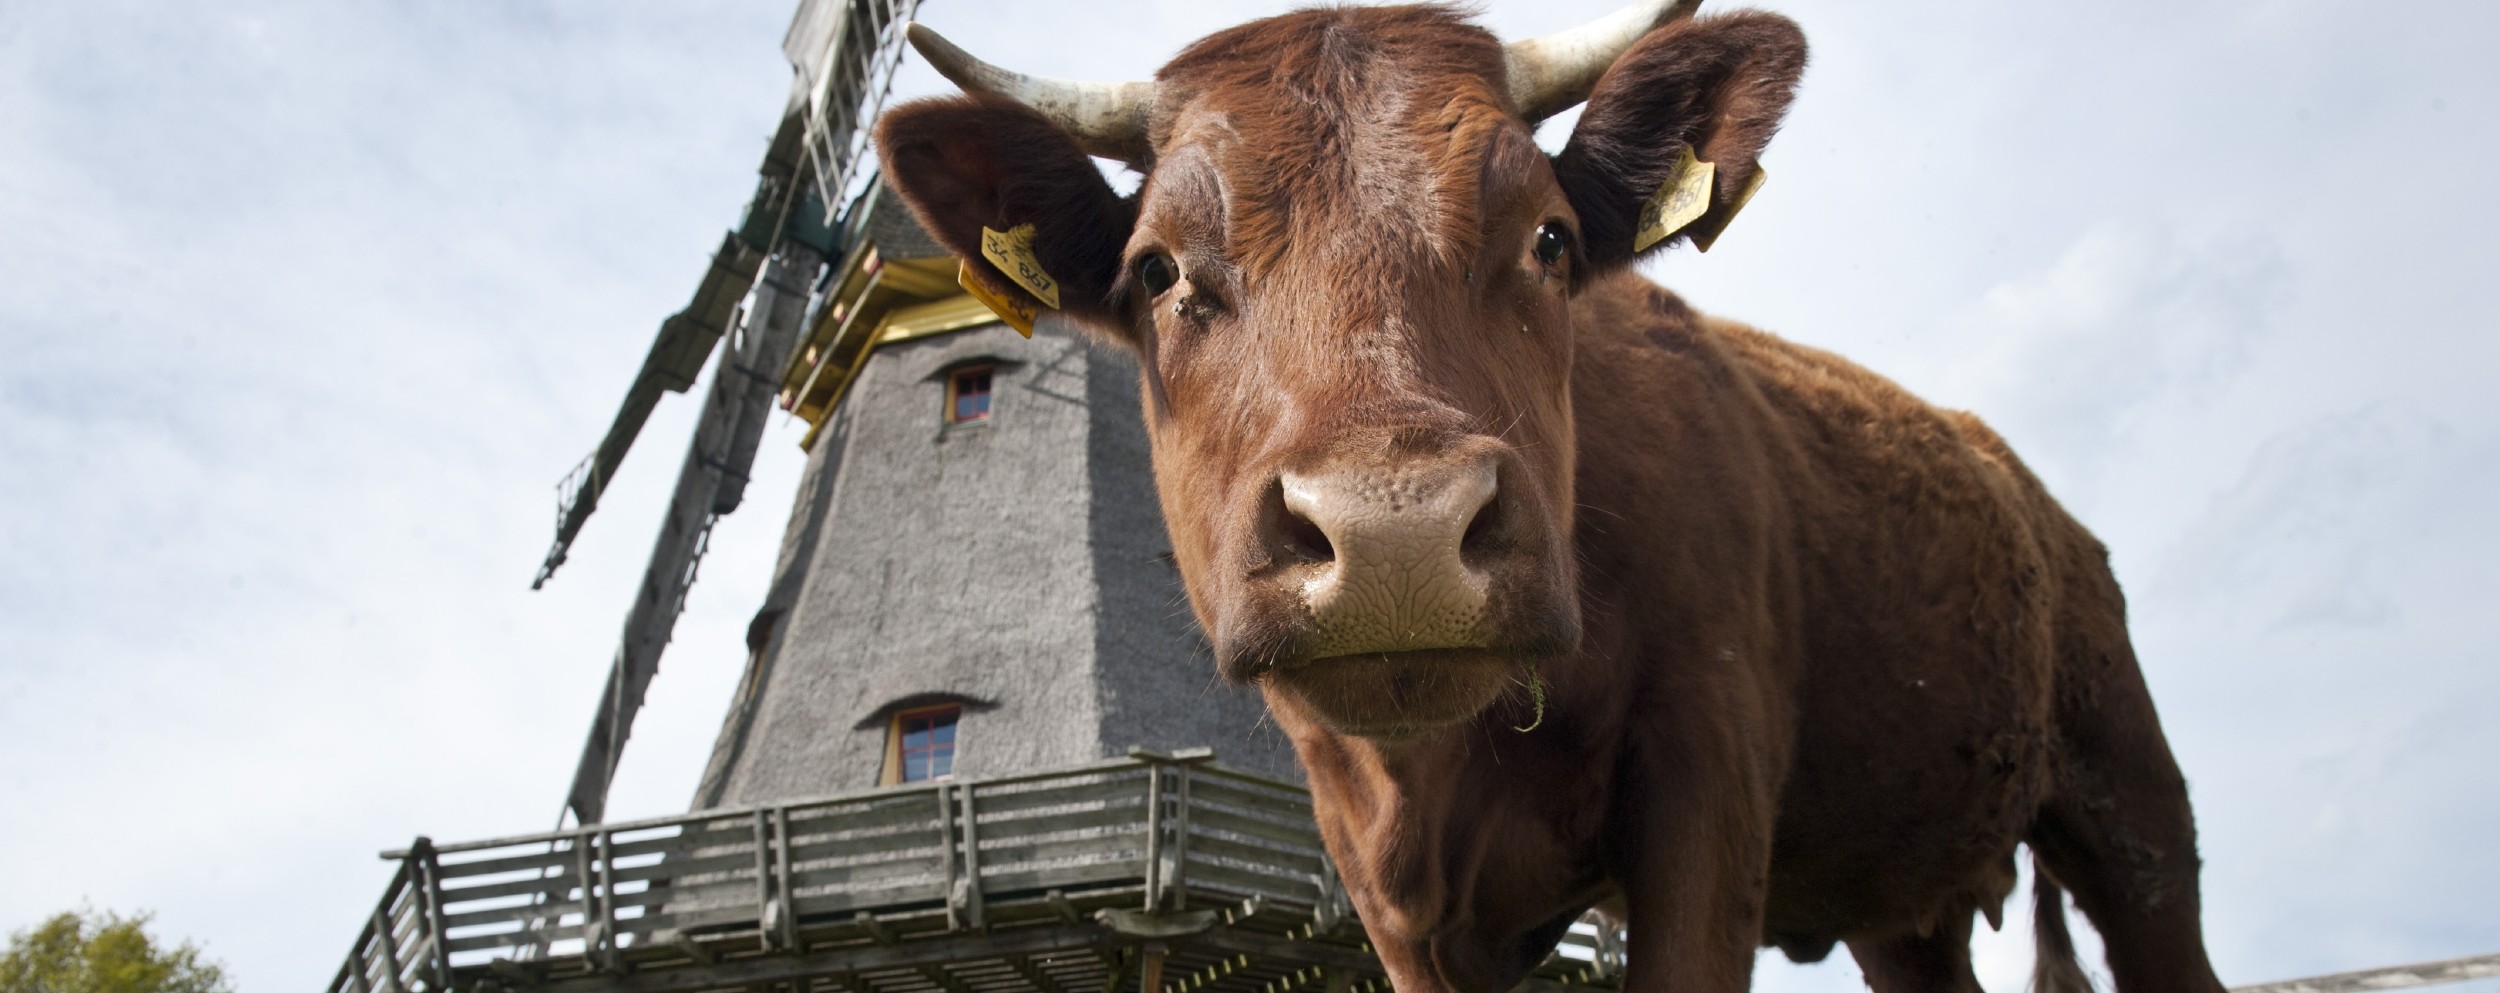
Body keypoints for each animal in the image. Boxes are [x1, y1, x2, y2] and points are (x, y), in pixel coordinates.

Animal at [875, 3, 2230, 985]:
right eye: (1158, 271)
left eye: (1550, 238)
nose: (1396, 535)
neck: (1433, 781)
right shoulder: (1391, 901)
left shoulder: (1707, 796)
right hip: (1900, 897)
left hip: (2131, 805)